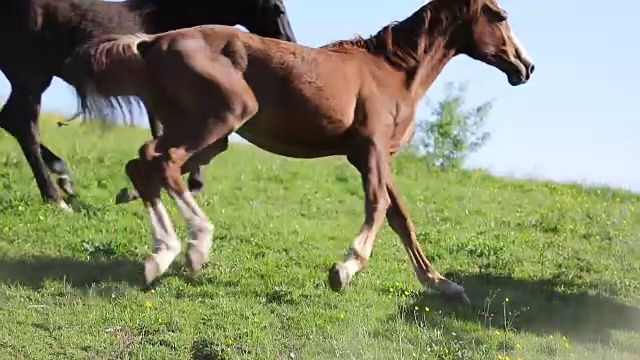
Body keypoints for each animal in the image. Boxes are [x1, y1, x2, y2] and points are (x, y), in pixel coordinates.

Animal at [0, 0, 296, 211]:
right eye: (279, 9)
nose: (291, 45)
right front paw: (191, 184)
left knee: (10, 119)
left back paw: (64, 177)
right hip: (31, 78)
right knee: (25, 127)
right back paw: (56, 197)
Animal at [65, 0, 536, 306]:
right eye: (500, 15)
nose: (525, 67)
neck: (393, 71)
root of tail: (150, 42)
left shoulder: (374, 156)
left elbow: (401, 217)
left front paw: (442, 283)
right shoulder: (368, 150)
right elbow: (379, 205)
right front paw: (344, 270)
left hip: (209, 134)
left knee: (144, 165)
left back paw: (159, 256)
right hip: (223, 116)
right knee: (161, 161)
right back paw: (194, 248)